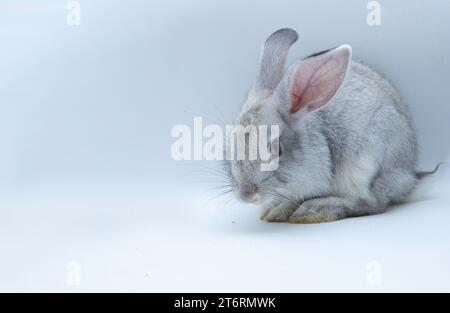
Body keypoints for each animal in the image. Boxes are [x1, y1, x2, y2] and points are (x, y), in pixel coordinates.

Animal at [223, 26, 424, 222]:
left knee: (371, 203)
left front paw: (279, 212)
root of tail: (409, 178)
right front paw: (271, 210)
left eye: (277, 150)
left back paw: (317, 209)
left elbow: (294, 199)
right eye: (231, 145)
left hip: (365, 166)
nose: (246, 195)